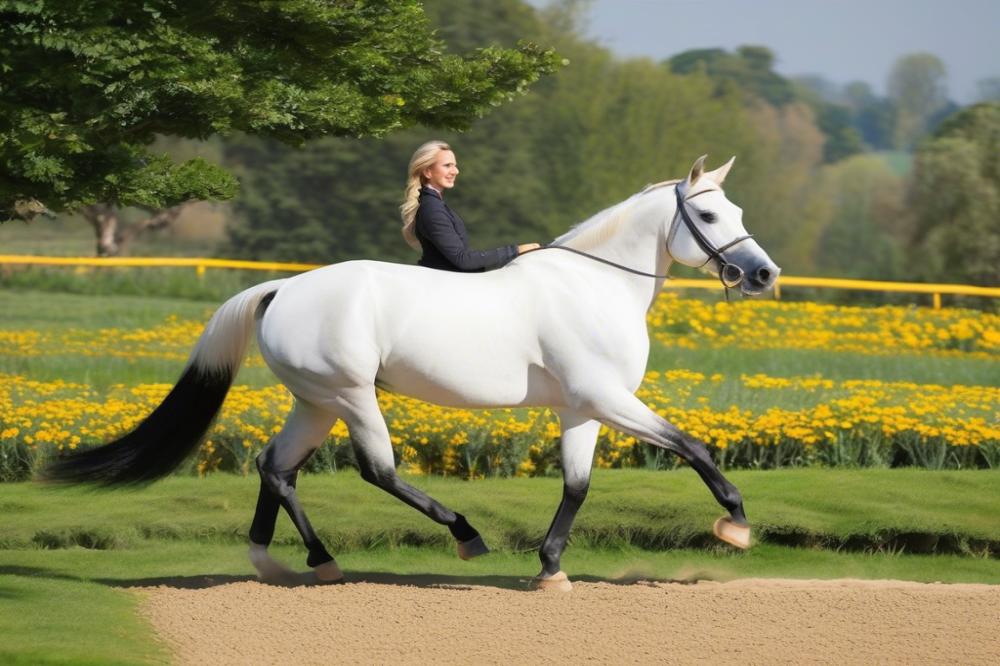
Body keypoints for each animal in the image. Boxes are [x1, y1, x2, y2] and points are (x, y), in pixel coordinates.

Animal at [45, 157, 780, 592]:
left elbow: (577, 485)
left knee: (276, 467)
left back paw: (292, 562)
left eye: (740, 213)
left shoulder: (582, 409)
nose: (764, 275)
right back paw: (463, 535)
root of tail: (281, 289)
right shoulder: (607, 398)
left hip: (315, 403)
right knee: (378, 470)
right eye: (708, 215)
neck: (594, 285)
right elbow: (692, 446)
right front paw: (736, 525)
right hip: (350, 396)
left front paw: (550, 568)